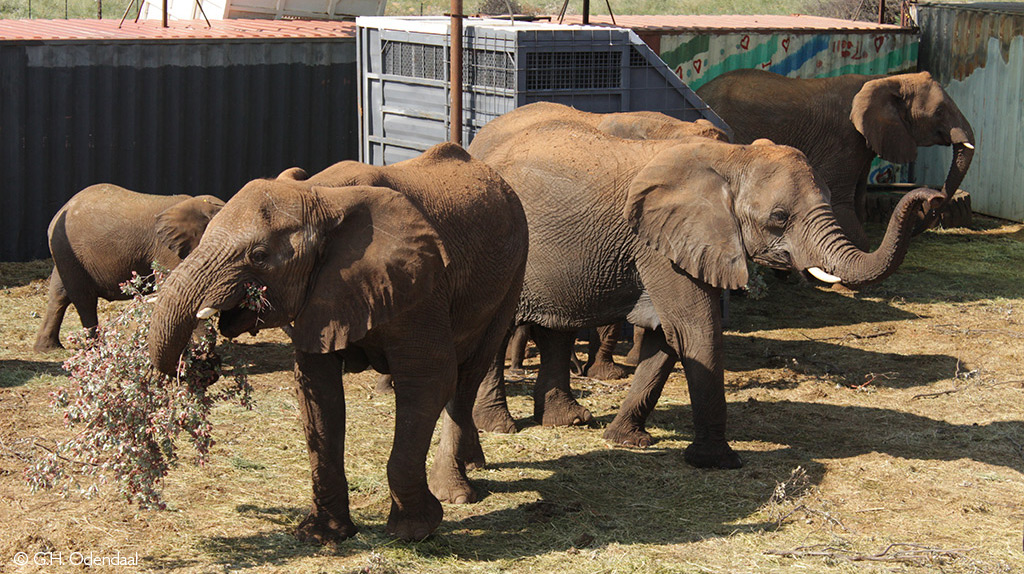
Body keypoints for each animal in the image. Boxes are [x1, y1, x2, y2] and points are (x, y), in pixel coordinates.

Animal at [33, 186, 223, 351]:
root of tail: (62, 209)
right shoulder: (166, 250)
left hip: (65, 253)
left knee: (59, 294)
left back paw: (47, 349)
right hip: (69, 251)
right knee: (84, 299)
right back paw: (95, 349)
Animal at [147, 142, 528, 540]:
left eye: (259, 256)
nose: (204, 365)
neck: (321, 197)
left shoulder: (422, 284)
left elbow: (428, 380)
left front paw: (414, 530)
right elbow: (318, 390)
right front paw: (323, 535)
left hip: (513, 272)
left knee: (469, 374)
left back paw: (454, 493)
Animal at [468, 101, 937, 470]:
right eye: (779, 217)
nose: (928, 200)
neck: (732, 160)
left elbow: (668, 338)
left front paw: (626, 440)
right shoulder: (659, 242)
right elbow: (695, 330)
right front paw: (718, 461)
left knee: (556, 327)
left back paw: (569, 420)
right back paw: (499, 426)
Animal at [696, 68, 974, 249]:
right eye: (939, 112)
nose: (931, 201)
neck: (886, 80)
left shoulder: (864, 142)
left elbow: (858, 199)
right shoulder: (844, 137)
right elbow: (840, 199)